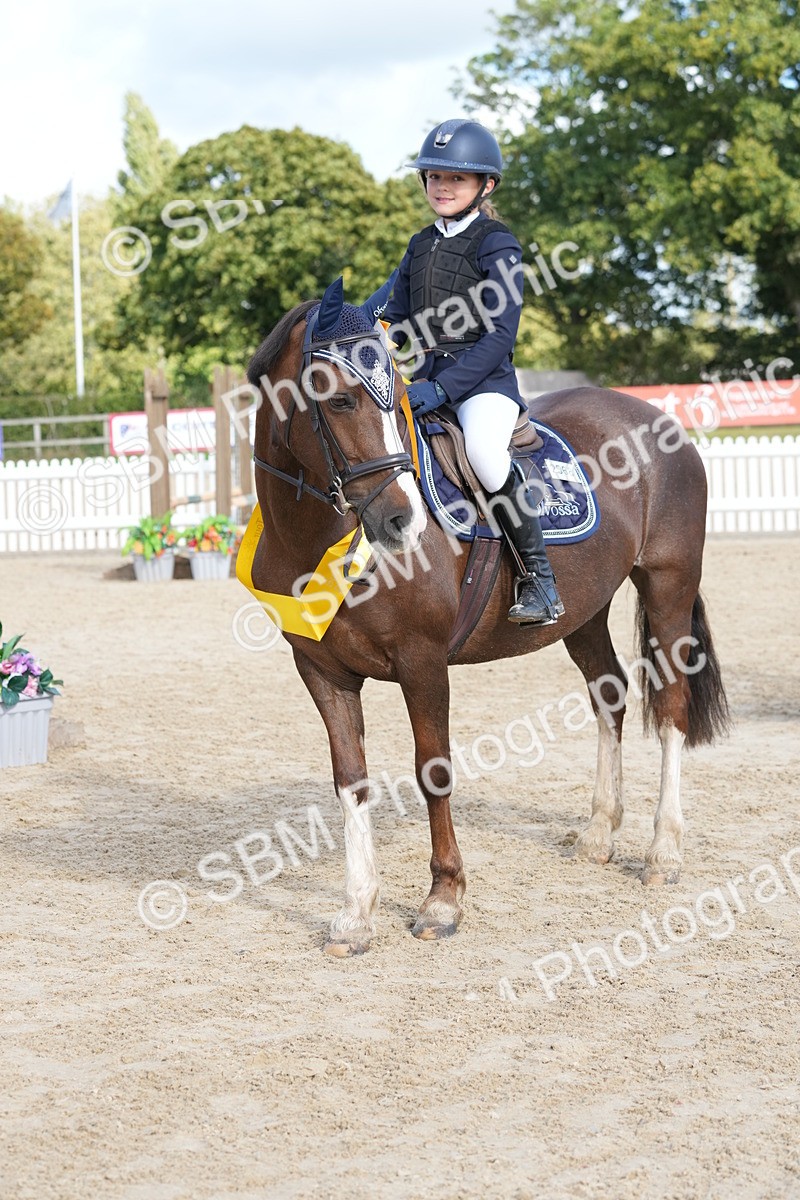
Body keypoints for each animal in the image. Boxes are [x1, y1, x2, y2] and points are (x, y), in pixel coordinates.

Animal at [243, 277, 730, 956]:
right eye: (338, 401)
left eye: (398, 400)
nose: (401, 521)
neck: (316, 535)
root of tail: (661, 421)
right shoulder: (321, 670)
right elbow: (351, 780)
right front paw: (356, 914)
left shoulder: (422, 661)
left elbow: (433, 771)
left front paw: (443, 901)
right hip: (583, 614)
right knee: (609, 696)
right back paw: (598, 836)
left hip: (668, 590)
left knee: (673, 709)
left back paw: (663, 852)